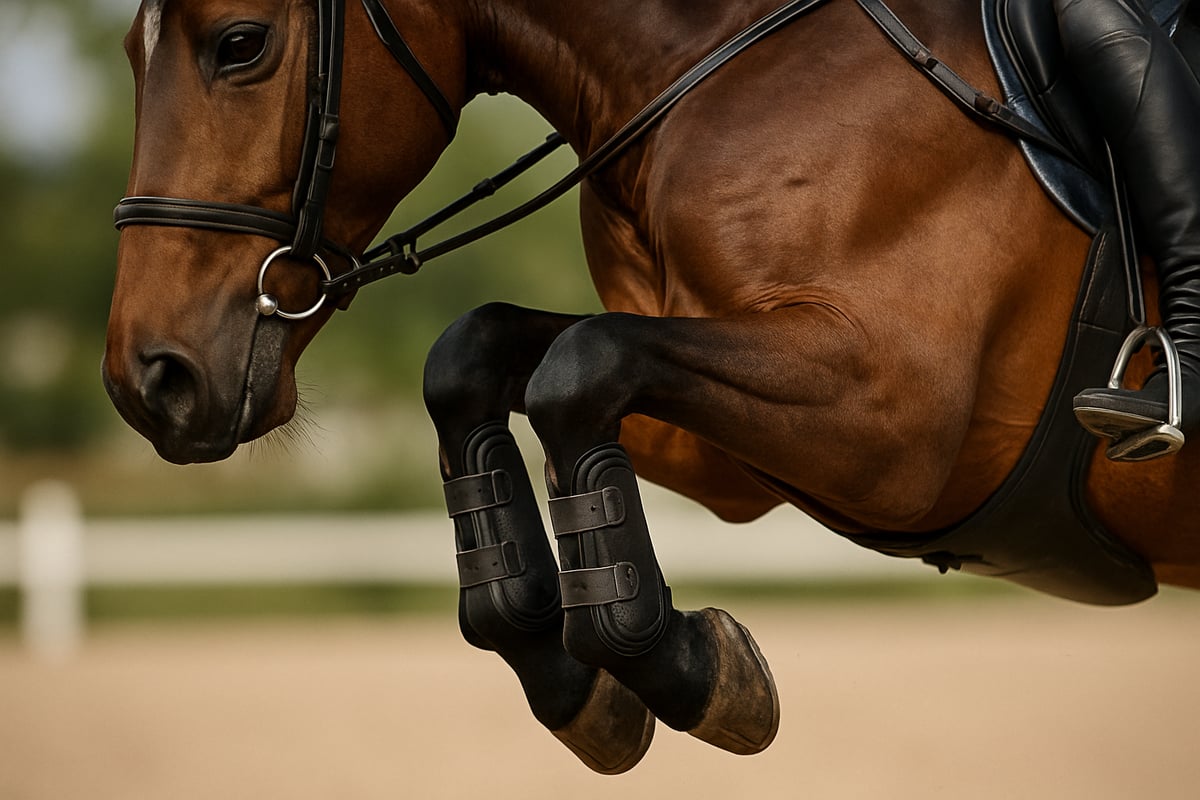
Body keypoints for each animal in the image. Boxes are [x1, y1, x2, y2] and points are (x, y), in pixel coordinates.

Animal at [103, 0, 1200, 775]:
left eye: (240, 43)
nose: (150, 379)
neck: (719, 58)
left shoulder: (901, 425)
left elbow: (577, 370)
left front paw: (700, 671)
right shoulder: (728, 456)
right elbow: (487, 358)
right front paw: (571, 672)